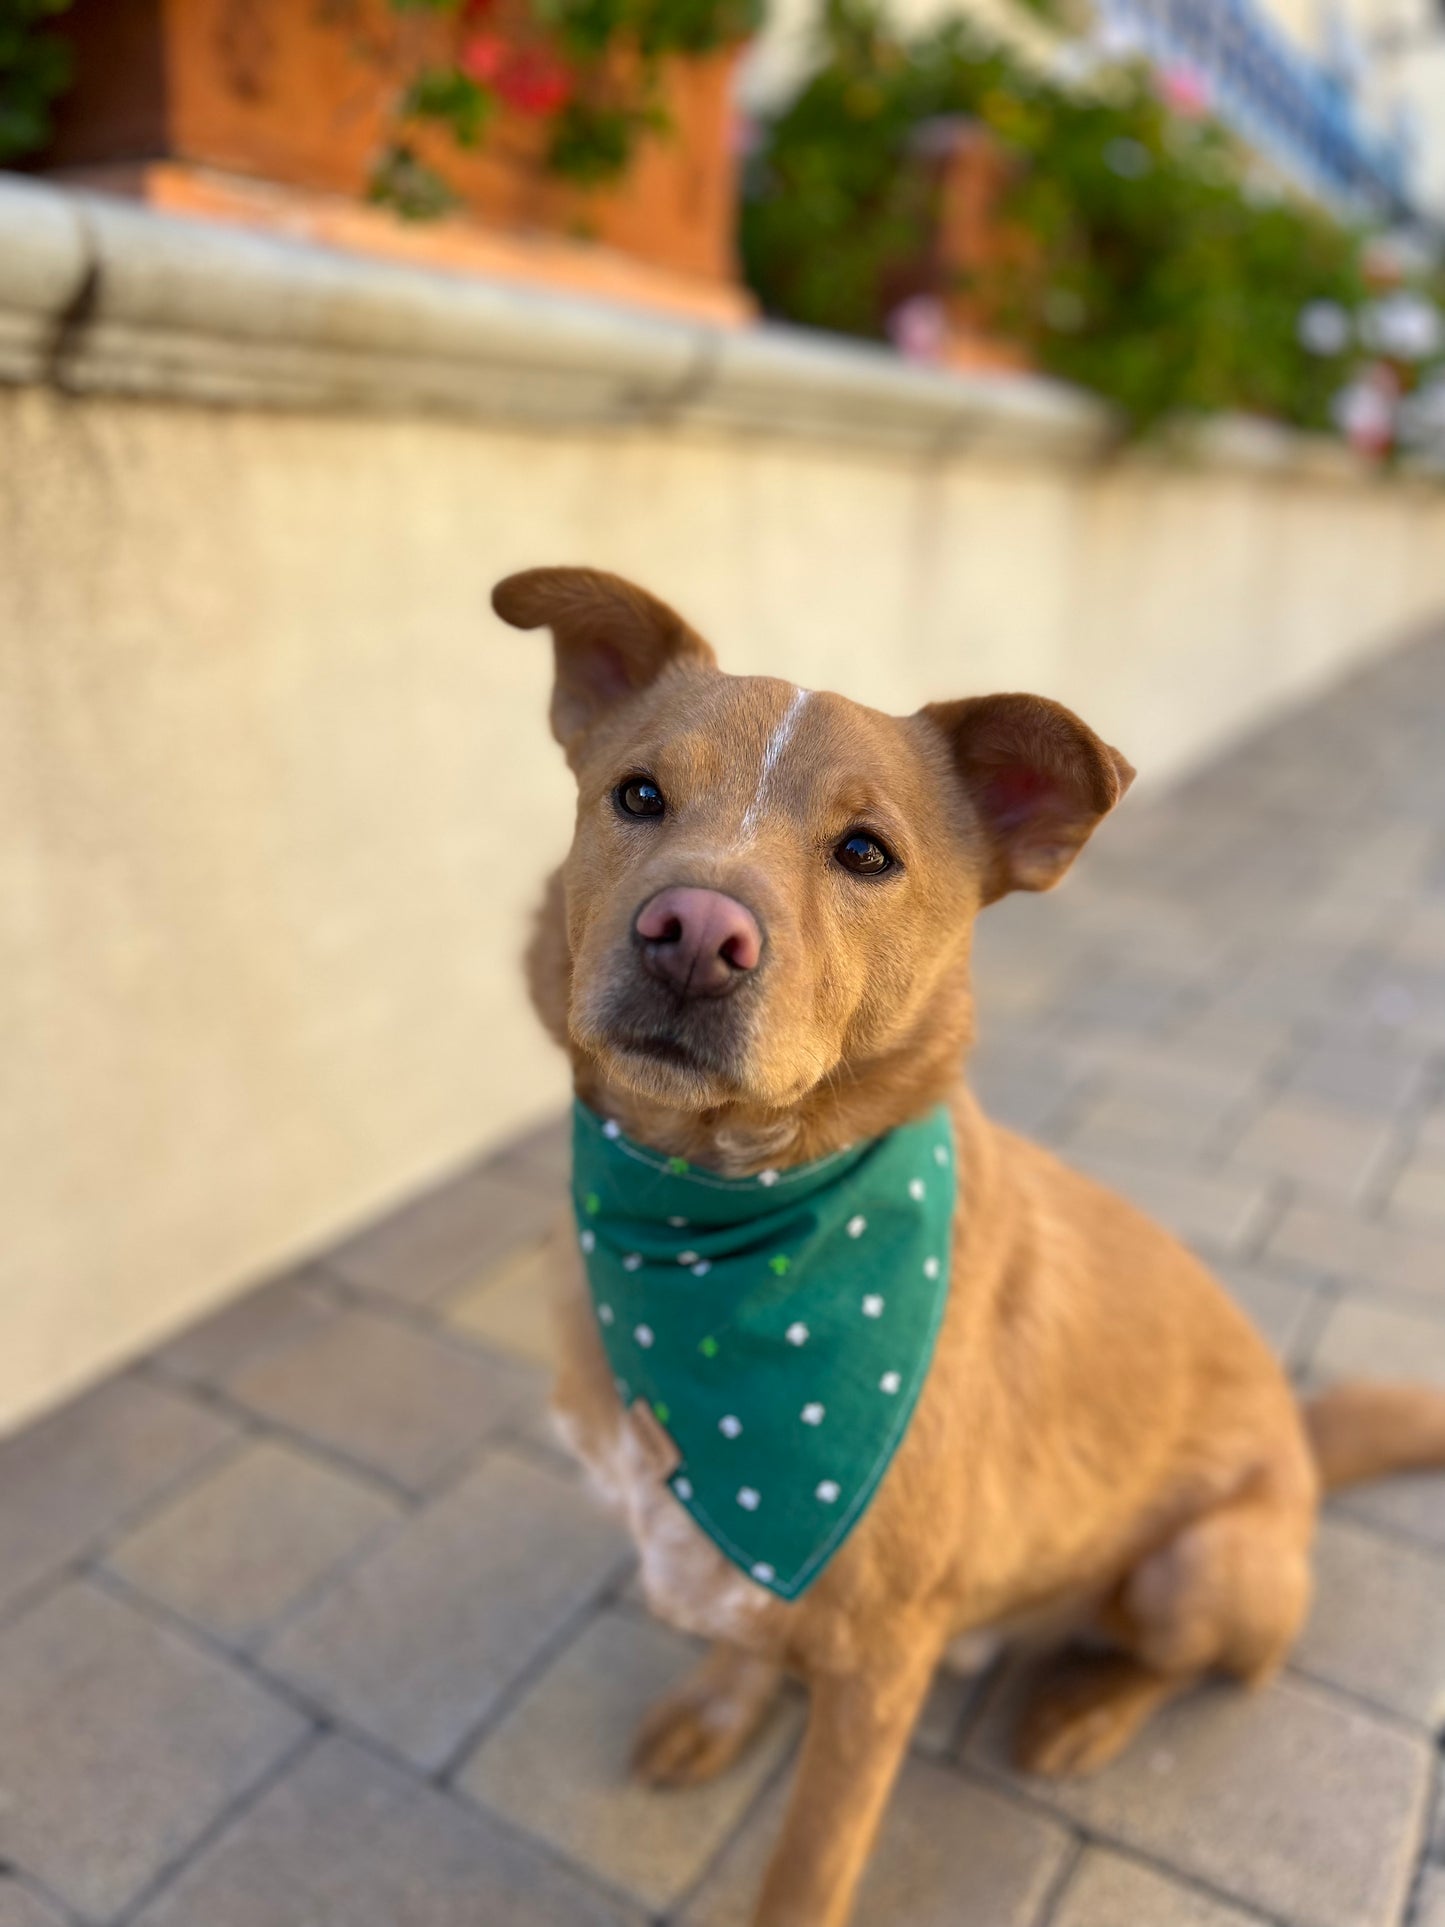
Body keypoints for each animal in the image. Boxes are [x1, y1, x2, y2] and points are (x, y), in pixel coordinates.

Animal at [497, 562, 1445, 1927]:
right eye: (637, 795)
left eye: (865, 853)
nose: (692, 932)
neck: (711, 1220)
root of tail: (1303, 1449)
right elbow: (740, 1629)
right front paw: (722, 1705)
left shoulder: (875, 1658)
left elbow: (806, 1868)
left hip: (1197, 1565)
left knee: (1221, 1663)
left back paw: (1088, 1709)